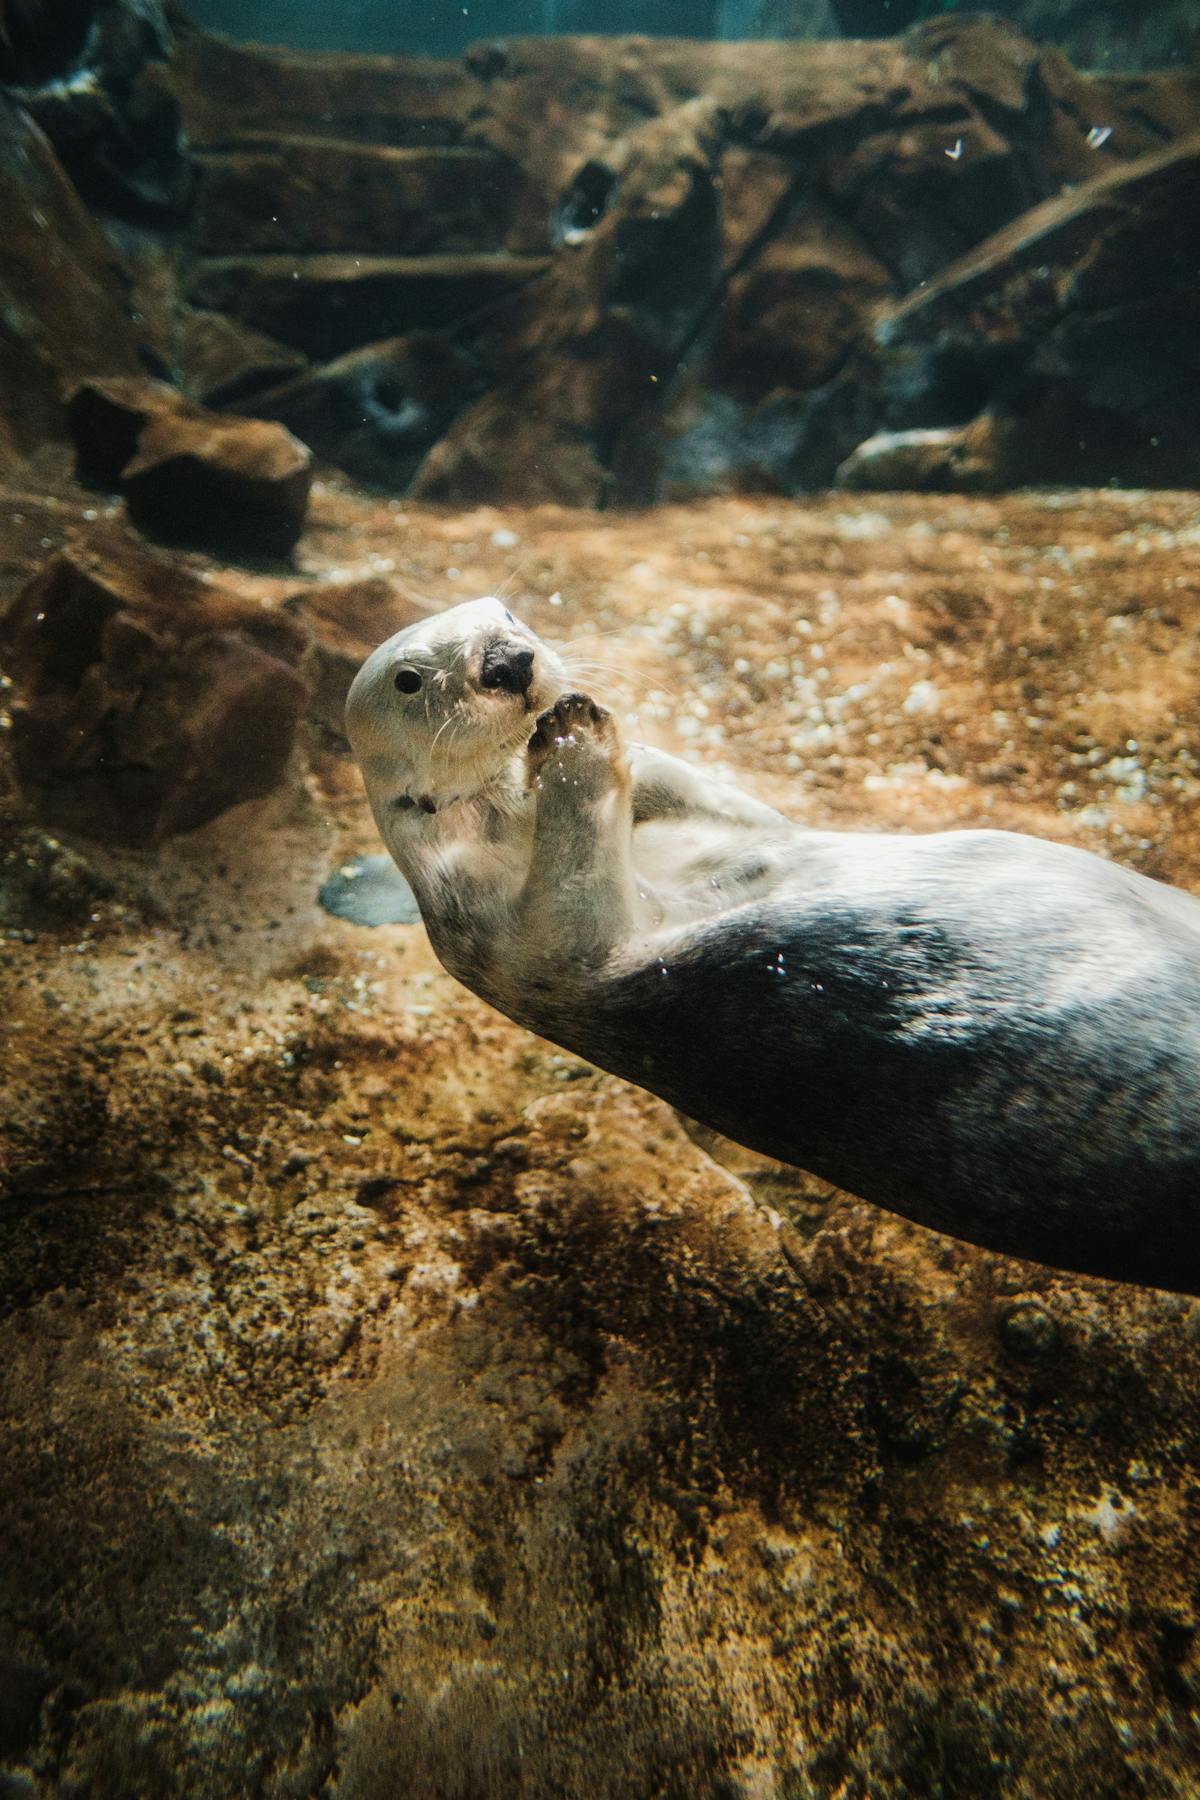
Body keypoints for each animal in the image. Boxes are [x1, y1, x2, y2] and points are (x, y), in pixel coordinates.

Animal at [346, 596, 1200, 1294]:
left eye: (510, 614)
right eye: (412, 680)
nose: (508, 662)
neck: (499, 824)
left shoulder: (741, 833)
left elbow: (728, 807)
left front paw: (582, 714)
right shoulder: (507, 933)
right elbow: (578, 910)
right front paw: (571, 735)